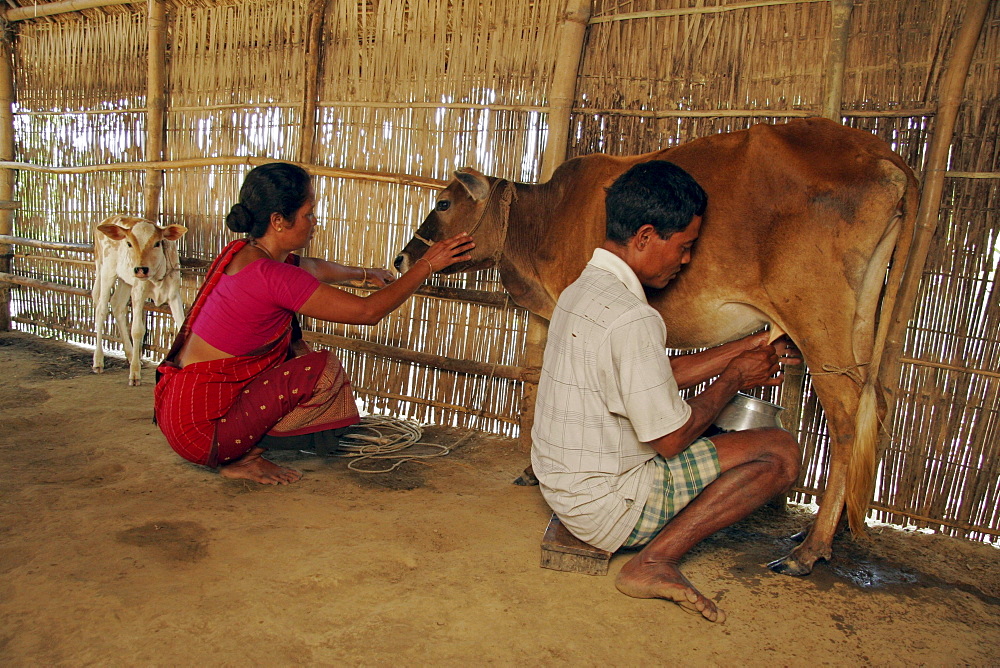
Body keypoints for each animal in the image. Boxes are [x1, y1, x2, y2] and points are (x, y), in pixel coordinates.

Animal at [93, 217, 189, 386]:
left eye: (157, 243)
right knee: (101, 309)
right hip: (106, 271)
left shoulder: (174, 294)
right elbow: (137, 330)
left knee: (117, 304)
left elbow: (181, 323)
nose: (140, 269)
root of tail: (106, 220)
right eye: (129, 243)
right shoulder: (138, 291)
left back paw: (131, 355)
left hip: (125, 280)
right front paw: (134, 374)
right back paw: (98, 361)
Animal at [394, 118, 916, 576]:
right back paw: (831, 534)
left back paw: (809, 550)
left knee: (846, 420)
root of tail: (881, 153)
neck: (541, 220)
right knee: (869, 411)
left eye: (444, 203)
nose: (402, 258)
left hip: (818, 320)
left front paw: (536, 471)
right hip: (860, 317)